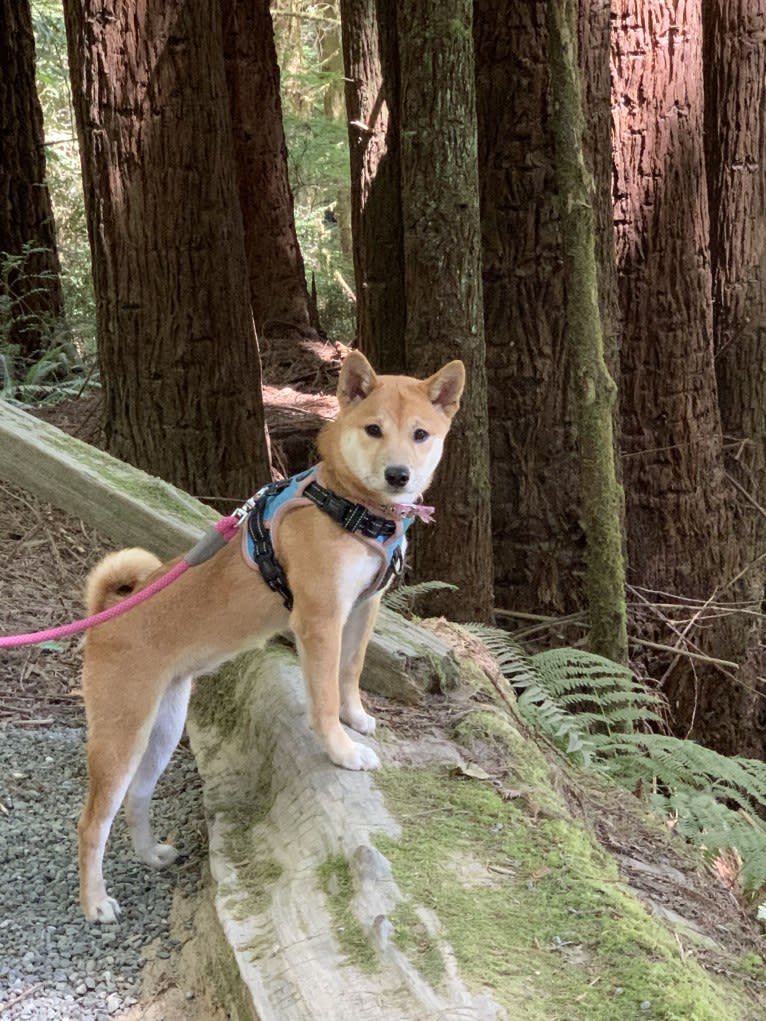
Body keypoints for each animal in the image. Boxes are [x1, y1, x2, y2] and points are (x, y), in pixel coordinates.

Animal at [76, 353, 467, 927]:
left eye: (421, 434)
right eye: (373, 430)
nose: (399, 475)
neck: (350, 506)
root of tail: (105, 617)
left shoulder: (363, 608)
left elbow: (350, 674)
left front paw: (357, 718)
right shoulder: (320, 619)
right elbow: (323, 697)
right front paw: (341, 750)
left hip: (162, 729)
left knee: (138, 797)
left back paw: (150, 855)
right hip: (120, 735)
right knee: (92, 822)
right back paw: (95, 902)